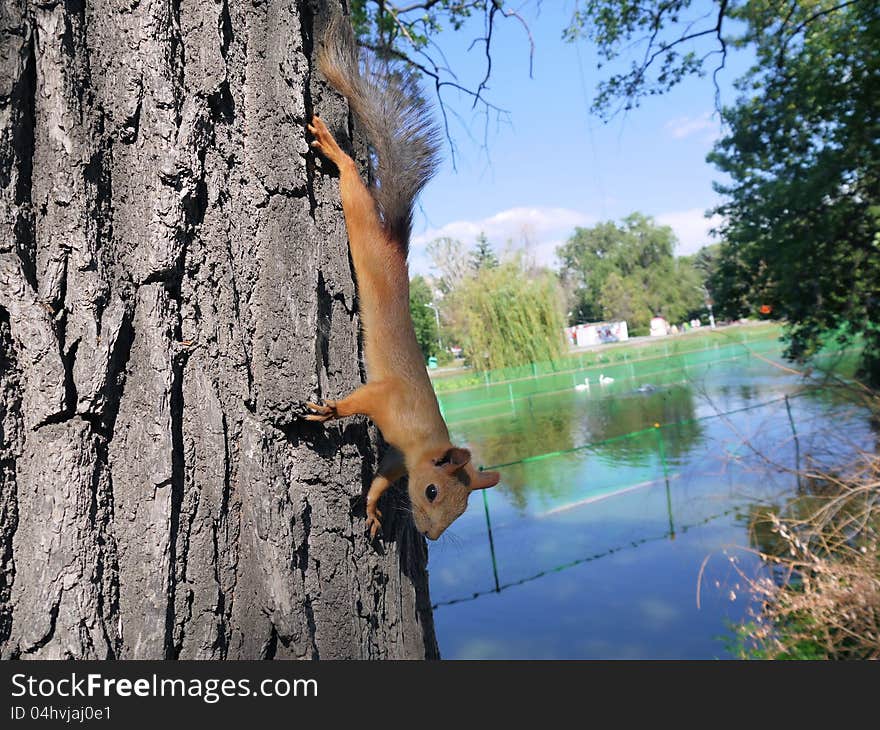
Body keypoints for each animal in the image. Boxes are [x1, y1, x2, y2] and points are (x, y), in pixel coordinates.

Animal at [302, 14, 498, 540]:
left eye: (462, 509)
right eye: (431, 491)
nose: (429, 535)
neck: (424, 437)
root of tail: (394, 247)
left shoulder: (397, 456)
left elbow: (383, 477)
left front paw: (370, 507)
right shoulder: (388, 400)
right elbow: (362, 401)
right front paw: (332, 410)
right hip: (359, 223)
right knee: (351, 180)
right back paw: (336, 151)